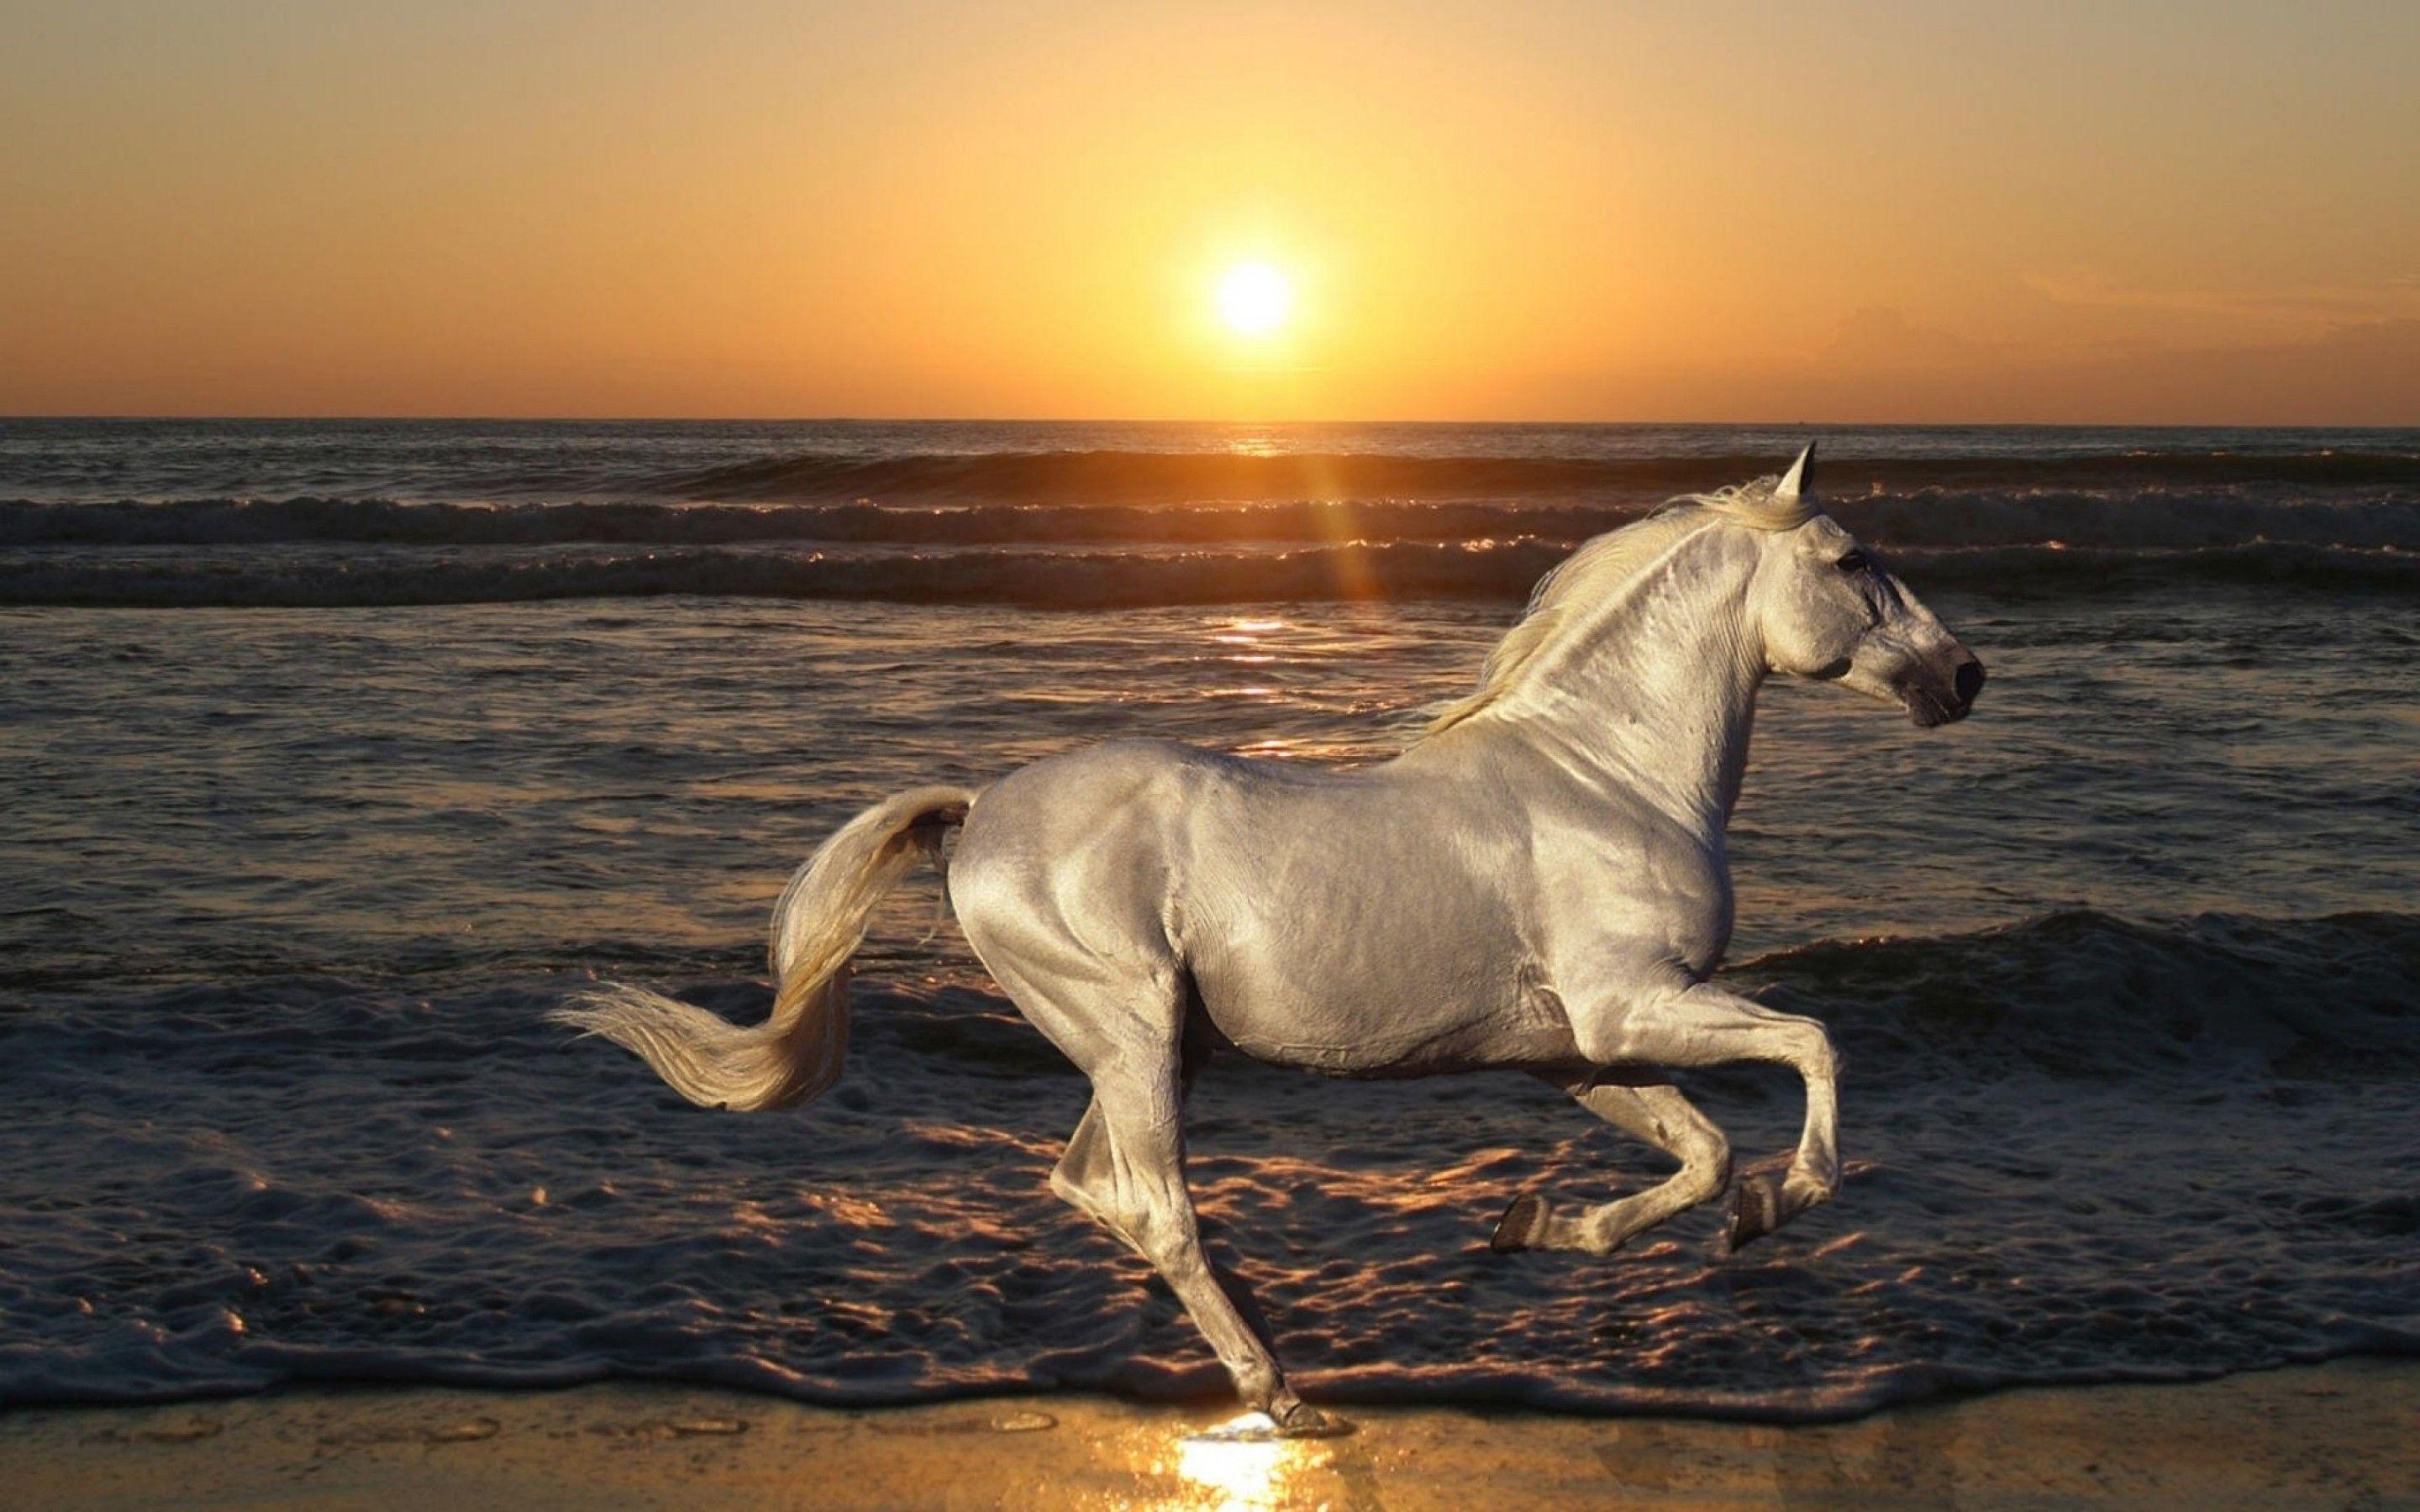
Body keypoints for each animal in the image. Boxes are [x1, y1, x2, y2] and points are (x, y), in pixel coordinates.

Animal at [554, 445, 1984, 1436]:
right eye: (1854, 560)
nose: (1963, 676)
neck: (1604, 776)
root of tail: (979, 813)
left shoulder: (1575, 1050)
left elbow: (1697, 1157)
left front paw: (1541, 1226)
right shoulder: (1632, 1007)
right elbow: (1813, 1049)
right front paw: (1780, 1205)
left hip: (1149, 1049)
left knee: (1096, 1189)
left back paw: (1273, 1347)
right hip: (1132, 1032)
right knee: (1153, 1206)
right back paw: (1281, 1389)